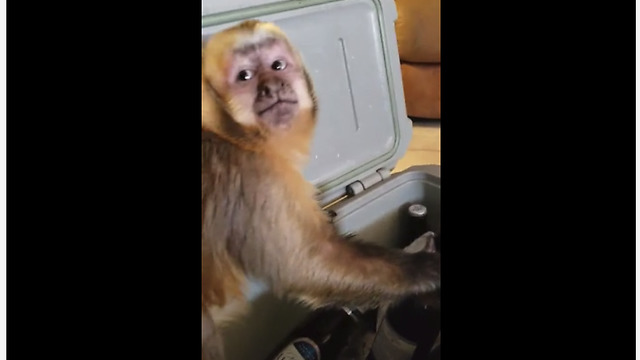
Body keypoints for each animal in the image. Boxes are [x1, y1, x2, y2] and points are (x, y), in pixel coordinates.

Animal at [201, 20, 440, 360]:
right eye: (244, 76)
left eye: (277, 65)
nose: (272, 87)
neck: (231, 134)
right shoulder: (253, 176)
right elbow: (306, 264)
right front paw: (429, 271)